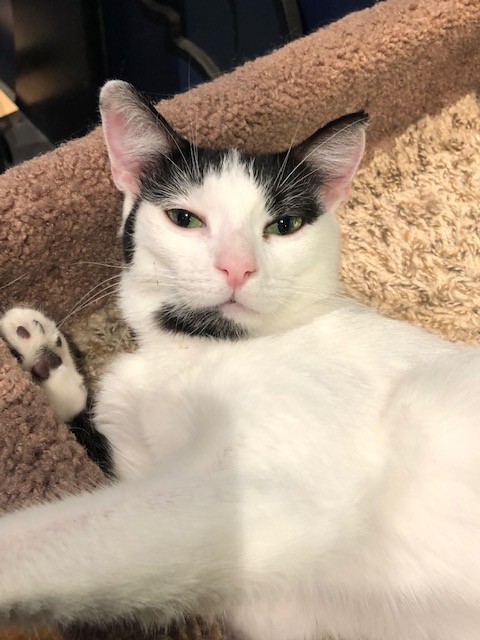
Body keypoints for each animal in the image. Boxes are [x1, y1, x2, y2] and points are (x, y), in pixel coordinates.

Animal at [0, 80, 479, 640]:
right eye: (184, 218)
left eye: (286, 224)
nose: (237, 266)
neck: (193, 349)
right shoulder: (144, 460)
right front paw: (45, 361)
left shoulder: (269, 499)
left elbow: (68, 532)